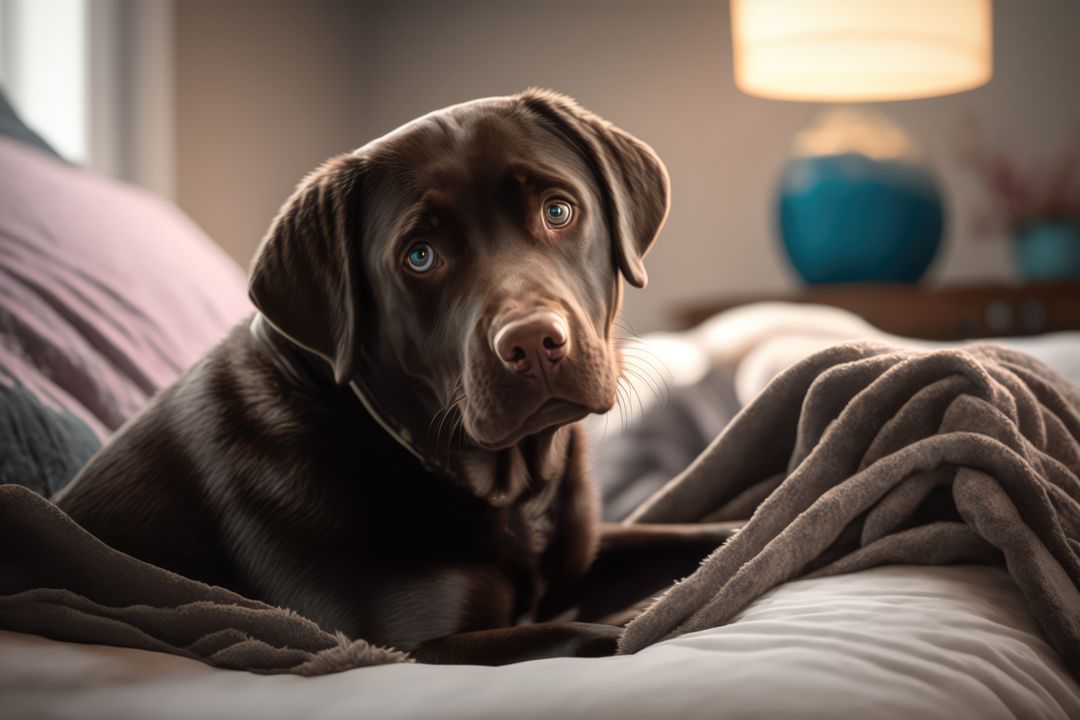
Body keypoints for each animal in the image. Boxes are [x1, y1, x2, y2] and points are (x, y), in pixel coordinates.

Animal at [54, 90, 738, 664]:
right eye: (420, 256)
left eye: (558, 210)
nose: (533, 343)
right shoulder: (402, 647)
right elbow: (611, 632)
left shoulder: (585, 555)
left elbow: (712, 538)